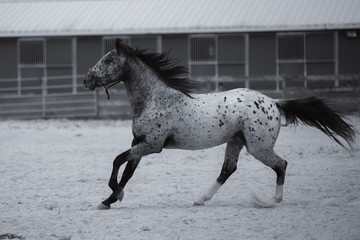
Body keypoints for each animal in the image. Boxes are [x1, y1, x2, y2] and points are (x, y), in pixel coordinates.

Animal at [83, 38, 356, 209]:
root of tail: (273, 102)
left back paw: (273, 200)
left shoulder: (151, 145)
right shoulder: (139, 143)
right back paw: (200, 199)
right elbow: (127, 171)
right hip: (236, 142)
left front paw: (115, 195)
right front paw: (109, 200)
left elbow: (117, 161)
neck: (155, 99)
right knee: (228, 170)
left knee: (281, 165)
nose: (86, 80)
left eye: (108, 60)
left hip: (259, 147)